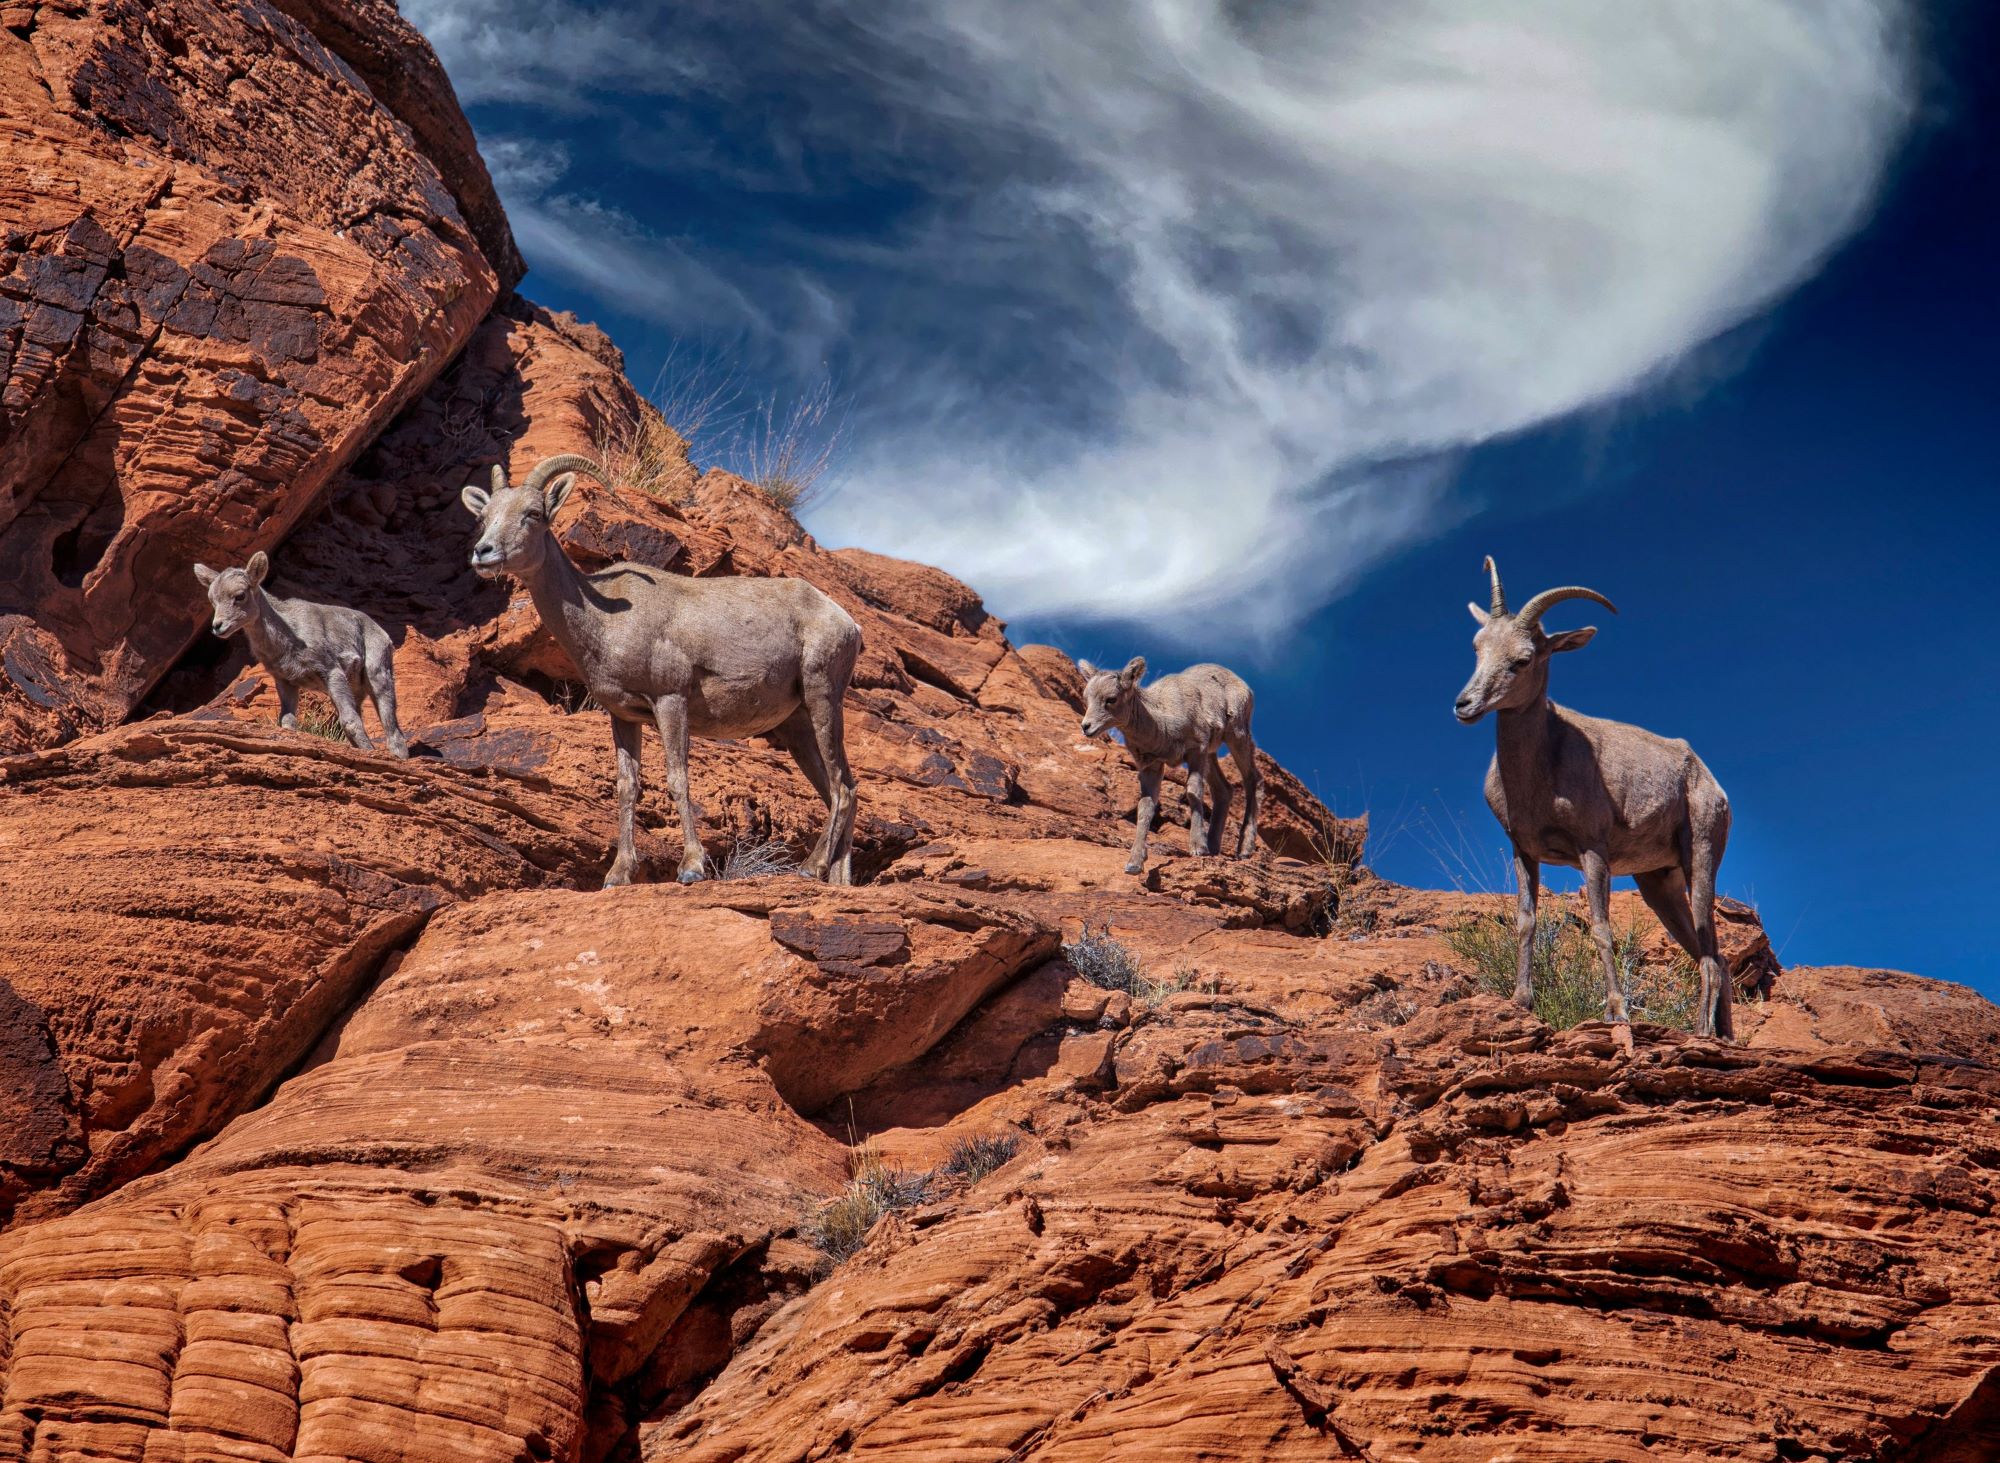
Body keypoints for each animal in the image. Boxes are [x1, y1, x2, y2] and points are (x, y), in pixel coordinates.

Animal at [192, 547, 410, 755]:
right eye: (213, 601)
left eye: (240, 596)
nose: (217, 626)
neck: (288, 637)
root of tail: (381, 632)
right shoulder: (285, 682)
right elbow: (288, 722)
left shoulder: (332, 672)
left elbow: (350, 721)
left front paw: (369, 752)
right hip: (356, 688)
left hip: (377, 677)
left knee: (393, 732)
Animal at [464, 451, 864, 887]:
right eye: (484, 516)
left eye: (534, 513)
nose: (483, 552)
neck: (605, 621)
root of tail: (846, 621)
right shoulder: (623, 716)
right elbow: (627, 786)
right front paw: (618, 874)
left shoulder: (670, 700)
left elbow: (677, 778)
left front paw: (691, 867)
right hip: (796, 725)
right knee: (840, 789)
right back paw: (836, 880)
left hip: (822, 697)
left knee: (842, 788)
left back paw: (811, 867)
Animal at [1080, 655, 1264, 875]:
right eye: (1087, 698)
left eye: (1111, 699)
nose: (1086, 727)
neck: (1162, 724)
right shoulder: (1151, 766)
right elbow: (1145, 807)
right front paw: (1134, 864)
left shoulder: (1196, 751)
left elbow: (1193, 792)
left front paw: (1197, 847)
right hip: (1212, 755)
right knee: (1224, 790)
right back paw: (1213, 847)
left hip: (1236, 735)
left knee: (1253, 779)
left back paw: (1243, 849)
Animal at [1456, 555, 1736, 1039]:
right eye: (1478, 648)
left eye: (1523, 660)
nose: (1464, 705)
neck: (1539, 774)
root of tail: (1709, 780)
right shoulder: (1523, 851)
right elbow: (1526, 922)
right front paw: (1521, 1001)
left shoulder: (1593, 851)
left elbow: (1602, 928)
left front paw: (1616, 1012)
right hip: (1657, 883)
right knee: (1712, 953)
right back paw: (1723, 1036)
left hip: (1699, 859)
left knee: (1711, 957)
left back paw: (1701, 1033)